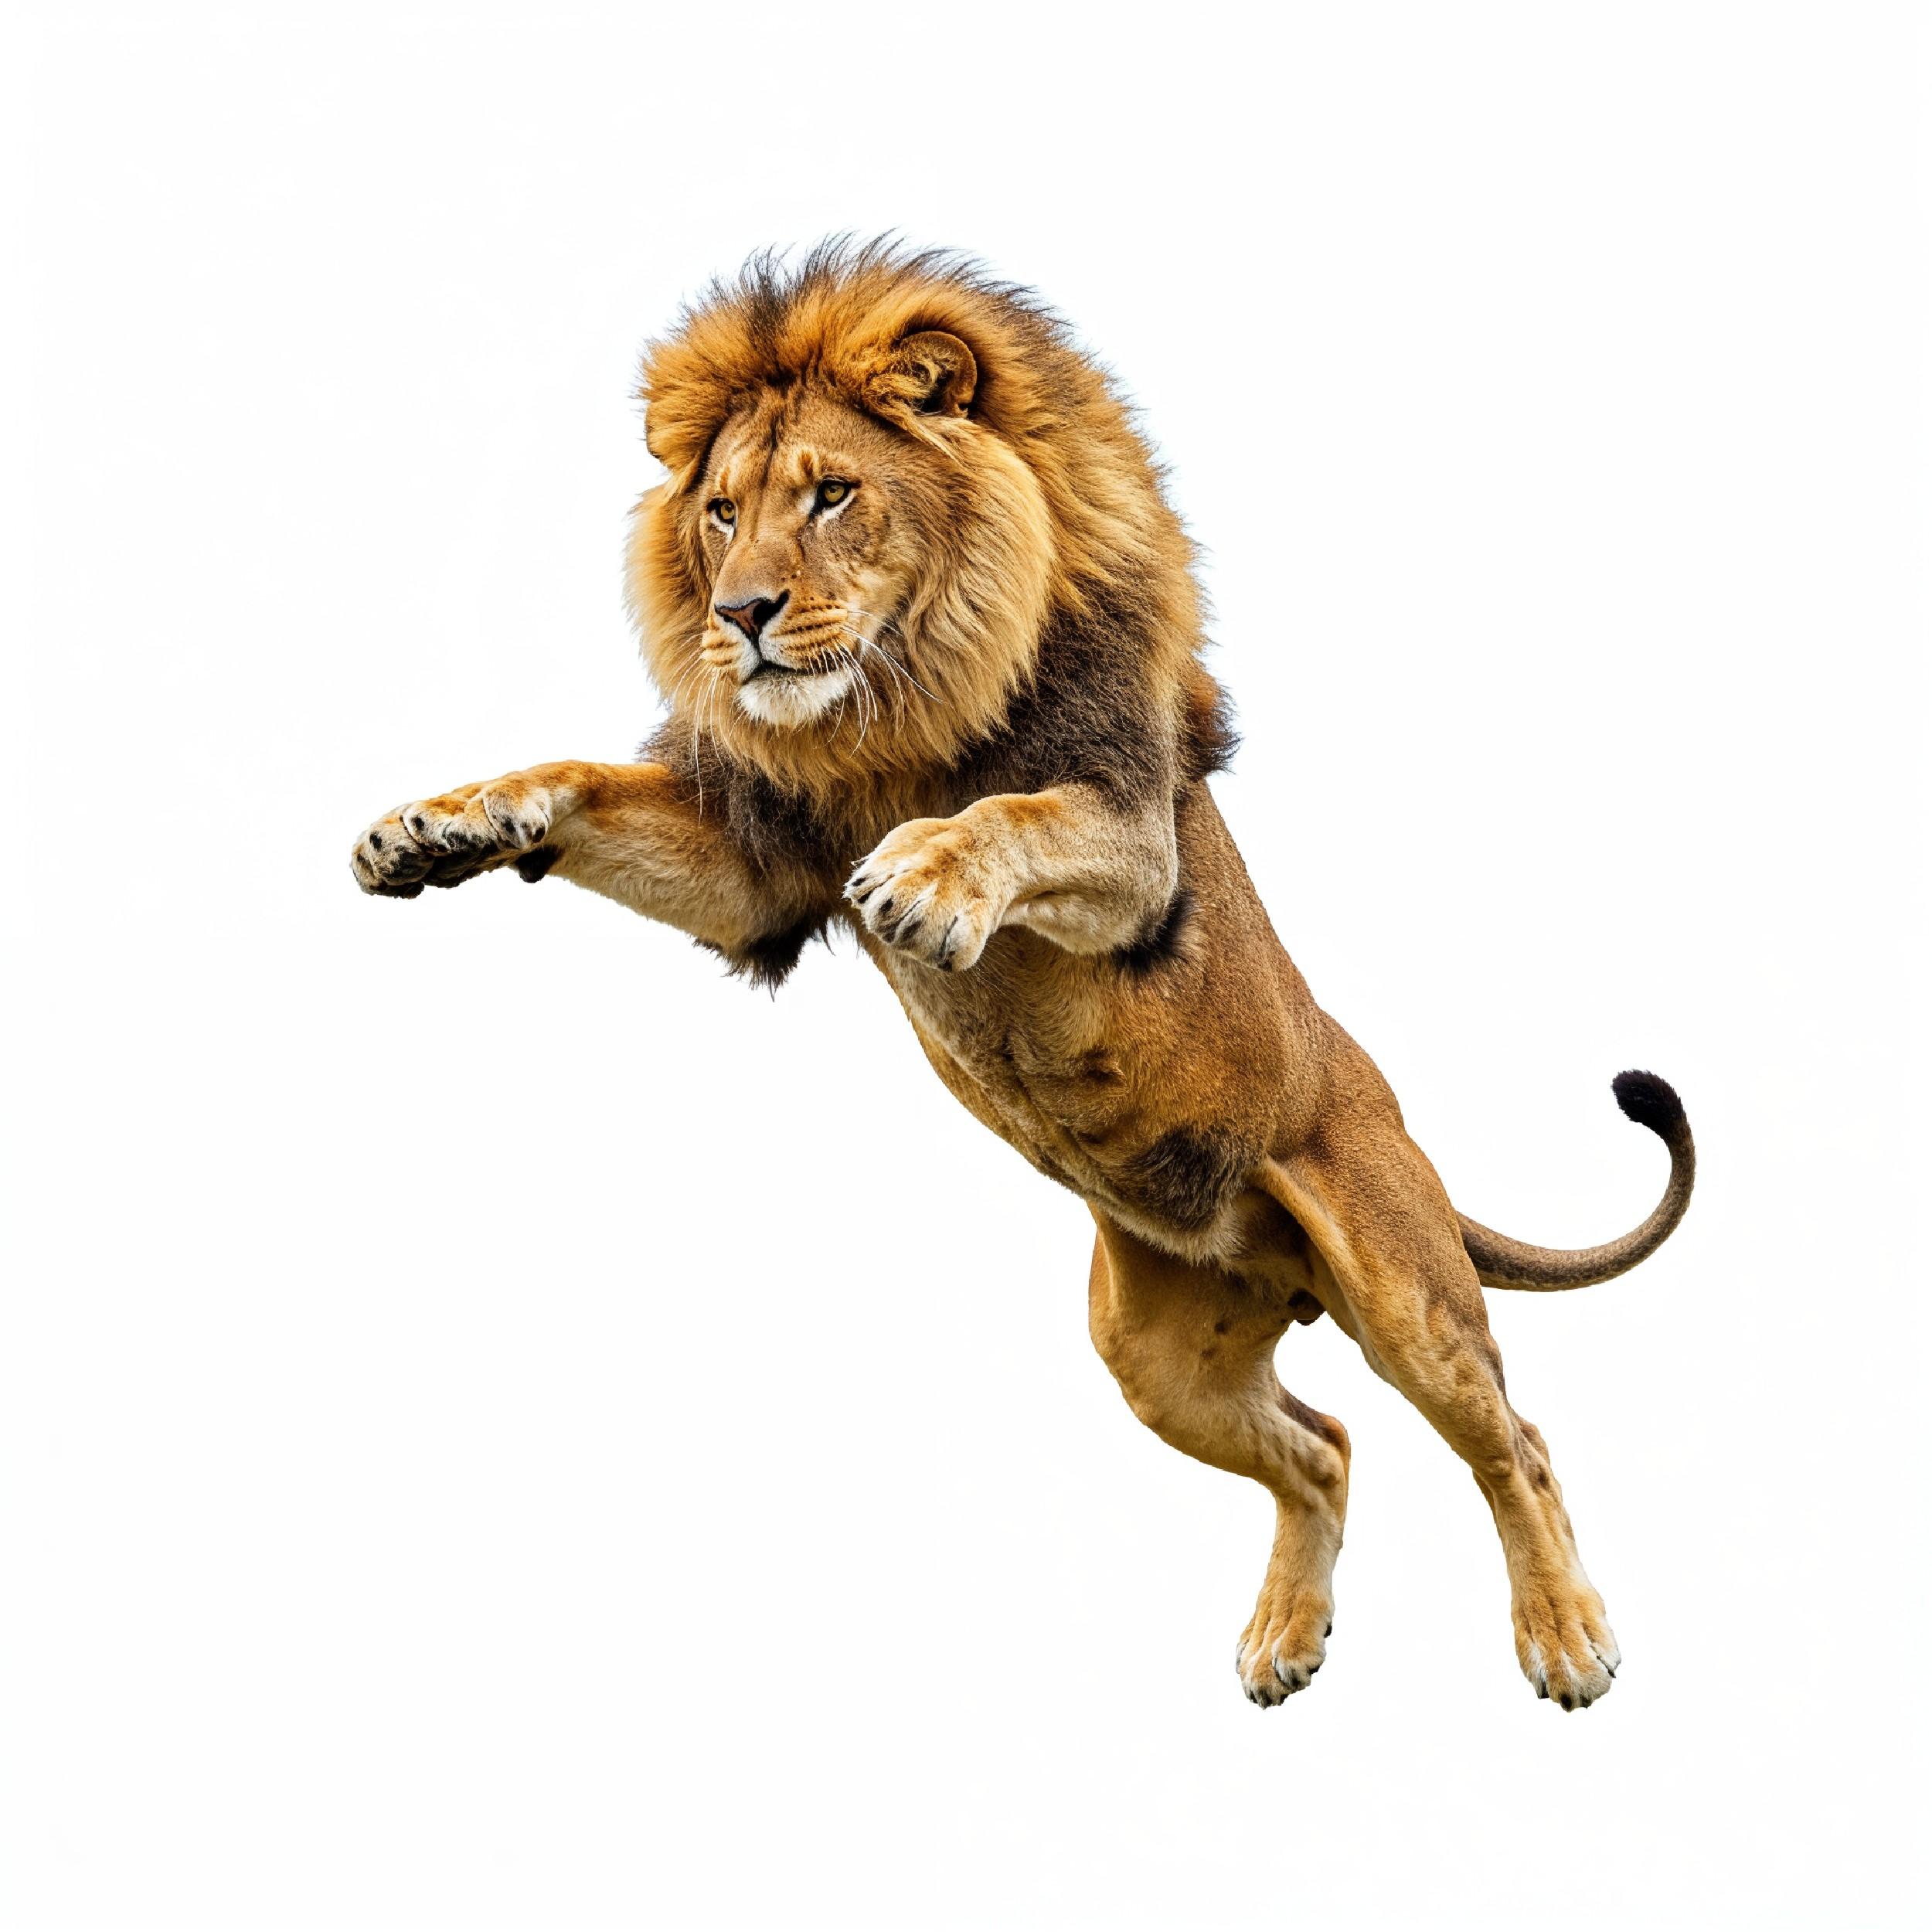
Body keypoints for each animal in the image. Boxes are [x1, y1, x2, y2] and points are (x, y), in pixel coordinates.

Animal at [351, 242, 1693, 1711]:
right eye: (719, 513)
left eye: (832, 494)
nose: (741, 616)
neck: (883, 712)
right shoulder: (757, 868)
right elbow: (579, 784)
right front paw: (442, 826)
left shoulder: (1132, 837)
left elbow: (1014, 818)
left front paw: (930, 876)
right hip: (1156, 1357)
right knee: (1326, 1444)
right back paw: (1286, 1636)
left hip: (1403, 1285)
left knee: (1513, 1437)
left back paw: (1564, 1637)